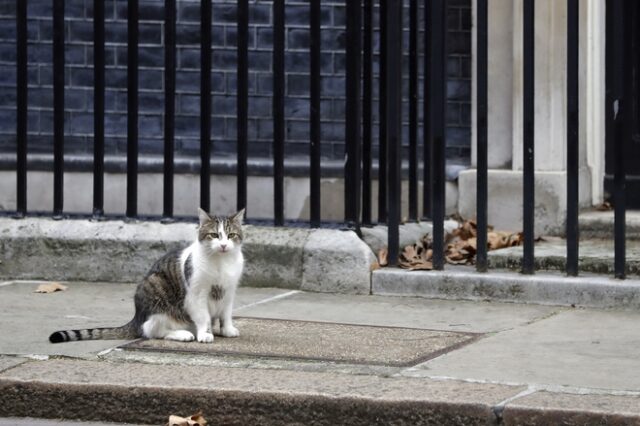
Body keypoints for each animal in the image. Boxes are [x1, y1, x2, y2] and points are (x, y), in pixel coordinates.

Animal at [48, 208, 245, 344]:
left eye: (231, 235)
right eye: (214, 235)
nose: (223, 245)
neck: (221, 262)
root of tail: (136, 317)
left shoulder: (229, 292)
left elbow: (226, 314)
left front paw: (227, 329)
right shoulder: (196, 295)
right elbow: (203, 317)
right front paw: (205, 333)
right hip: (156, 295)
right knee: (152, 331)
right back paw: (183, 334)